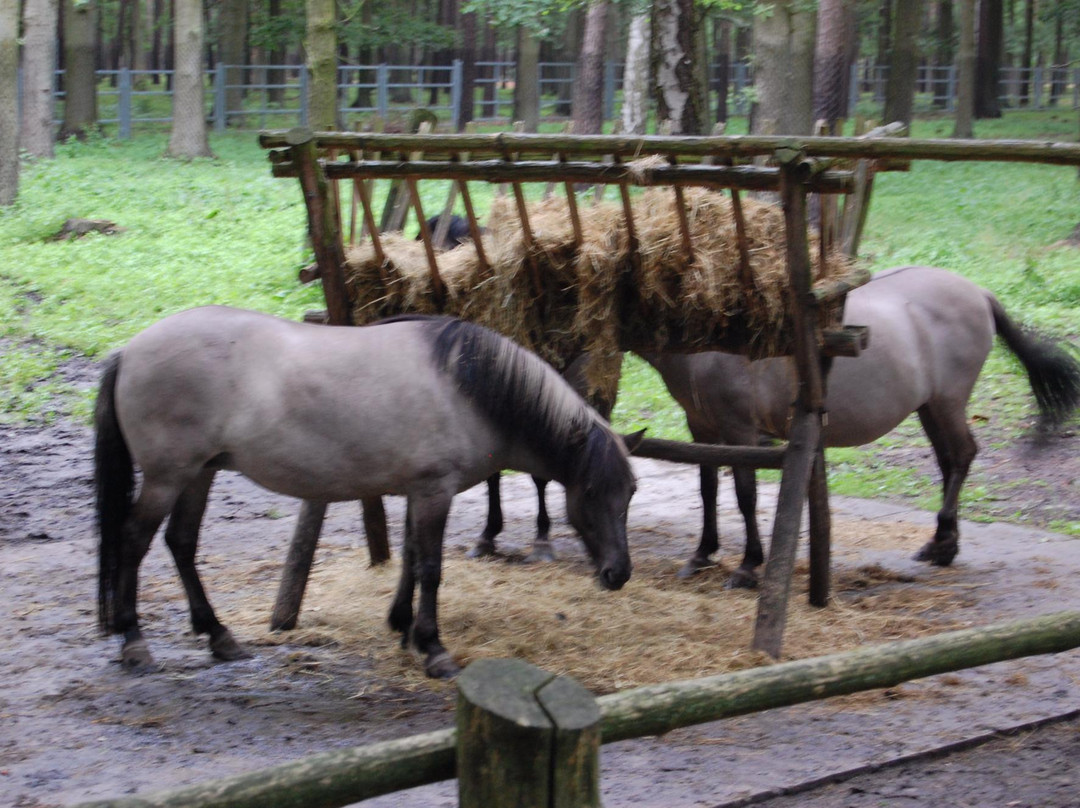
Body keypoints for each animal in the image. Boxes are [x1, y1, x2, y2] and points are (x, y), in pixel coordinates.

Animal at [95, 306, 639, 678]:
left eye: (631, 493)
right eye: (591, 492)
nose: (618, 574)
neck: (468, 384)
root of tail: (129, 350)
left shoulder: (418, 491)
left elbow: (411, 559)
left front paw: (403, 627)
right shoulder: (434, 491)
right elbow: (430, 569)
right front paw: (434, 648)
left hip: (199, 475)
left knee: (181, 544)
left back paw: (219, 636)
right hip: (168, 477)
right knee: (134, 541)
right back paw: (134, 641)